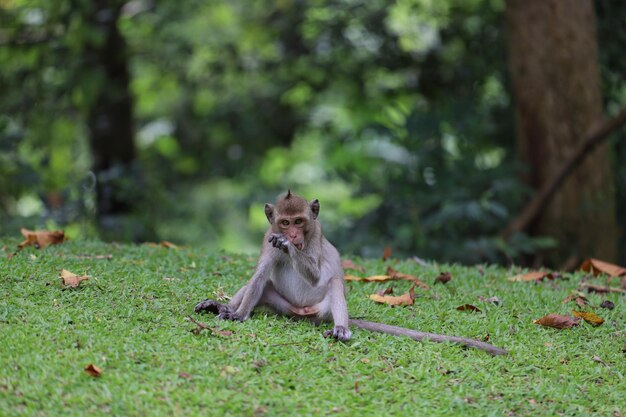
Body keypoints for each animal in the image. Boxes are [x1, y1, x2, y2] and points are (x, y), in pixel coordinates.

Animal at [195, 190, 508, 356]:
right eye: (285, 222)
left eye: (299, 222)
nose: (292, 235)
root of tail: (303, 314)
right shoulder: (266, 237)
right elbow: (259, 277)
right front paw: (236, 314)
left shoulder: (315, 236)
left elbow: (316, 275)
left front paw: (288, 247)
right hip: (281, 305)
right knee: (262, 285)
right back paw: (221, 307)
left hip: (321, 310)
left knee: (333, 283)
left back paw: (342, 329)